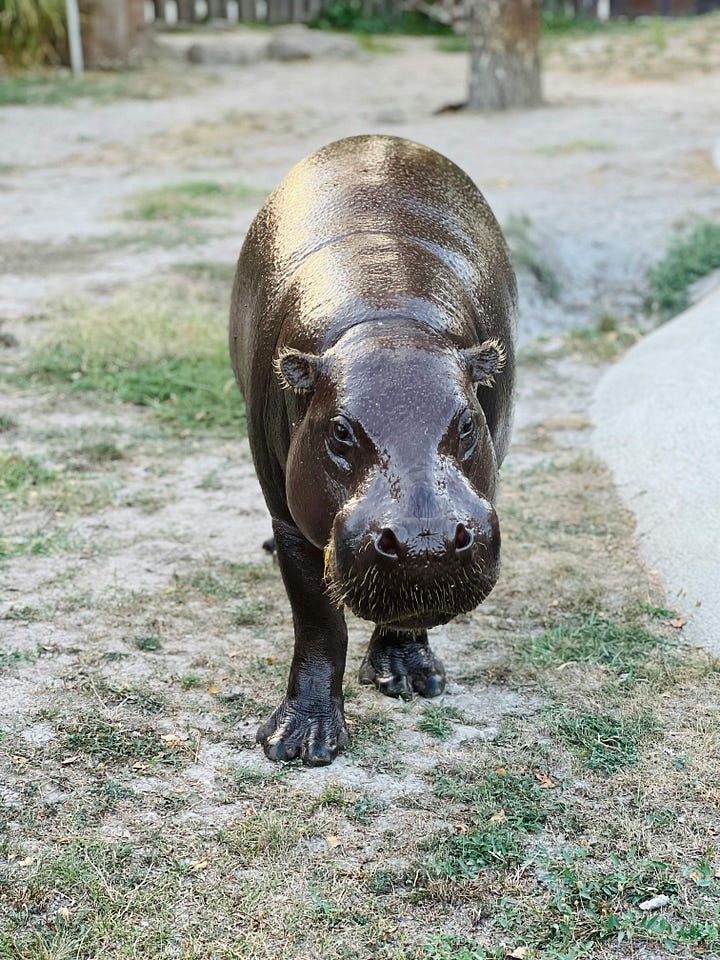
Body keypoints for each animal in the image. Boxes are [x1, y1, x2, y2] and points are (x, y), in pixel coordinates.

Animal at [229, 135, 516, 765]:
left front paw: (409, 676)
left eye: (467, 422)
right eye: (339, 430)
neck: (387, 322)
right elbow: (318, 623)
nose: (424, 540)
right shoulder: (292, 514)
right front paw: (299, 743)